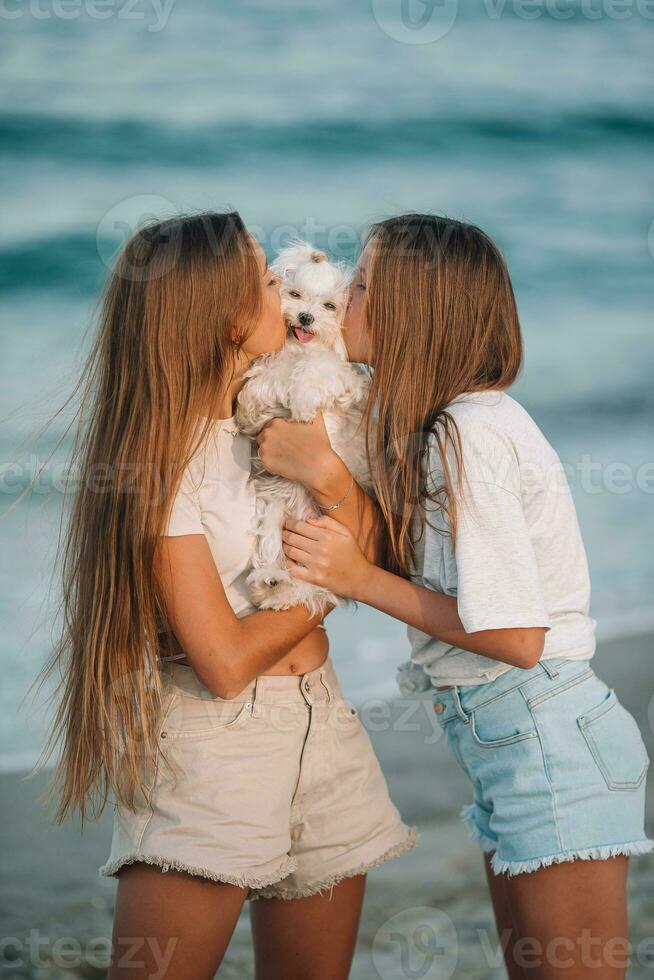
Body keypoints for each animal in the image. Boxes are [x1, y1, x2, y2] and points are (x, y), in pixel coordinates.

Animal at [236, 241, 372, 616]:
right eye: (295, 294)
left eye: (329, 306)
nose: (306, 318)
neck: (298, 350)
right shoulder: (264, 372)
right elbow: (260, 386)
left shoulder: (342, 377)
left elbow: (315, 370)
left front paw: (301, 400)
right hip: (271, 510)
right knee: (273, 556)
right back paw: (272, 581)